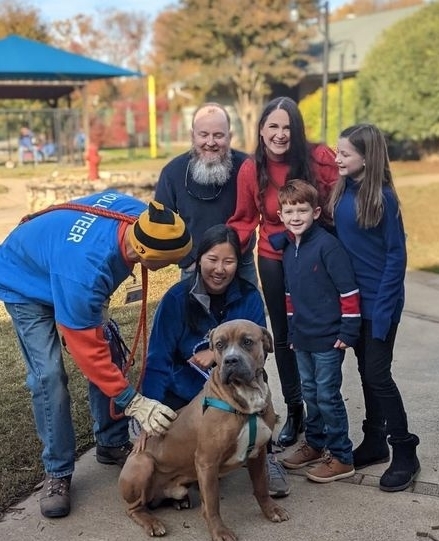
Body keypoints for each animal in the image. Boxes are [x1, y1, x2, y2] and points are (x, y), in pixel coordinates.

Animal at [117, 316, 288, 540]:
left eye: (247, 341)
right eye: (220, 345)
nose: (230, 361)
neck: (245, 398)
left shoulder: (257, 454)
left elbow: (261, 486)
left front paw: (270, 510)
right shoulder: (207, 462)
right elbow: (212, 503)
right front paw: (219, 531)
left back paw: (179, 501)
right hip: (143, 463)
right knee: (133, 508)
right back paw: (152, 522)